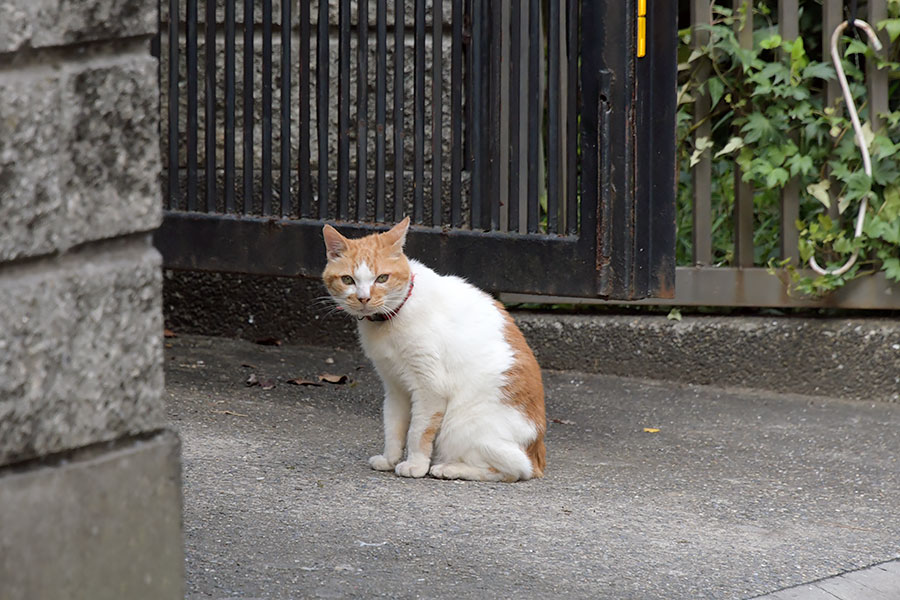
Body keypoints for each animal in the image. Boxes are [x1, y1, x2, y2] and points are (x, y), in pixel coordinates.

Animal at [326, 217, 548, 482]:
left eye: (382, 278)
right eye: (348, 280)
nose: (363, 298)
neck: (392, 316)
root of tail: (537, 453)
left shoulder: (430, 388)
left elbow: (417, 431)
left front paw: (415, 465)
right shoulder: (395, 386)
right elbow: (393, 426)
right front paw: (390, 459)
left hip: (460, 425)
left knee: (514, 470)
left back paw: (449, 468)